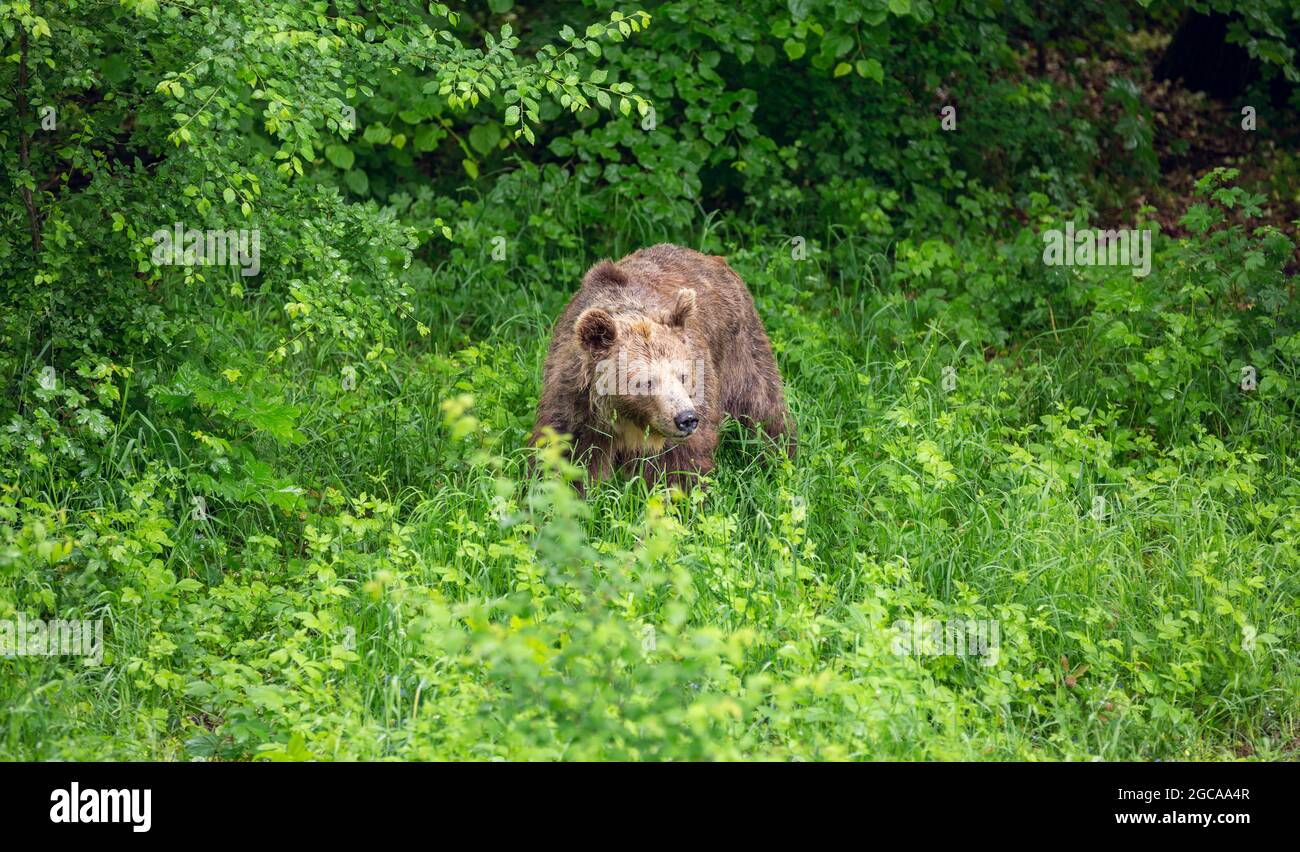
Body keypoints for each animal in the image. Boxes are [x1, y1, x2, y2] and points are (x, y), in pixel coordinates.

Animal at [530, 243, 794, 490]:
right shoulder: (575, 404)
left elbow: (679, 466)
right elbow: (566, 457)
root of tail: (713, 258)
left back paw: (780, 458)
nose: (686, 418)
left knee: (763, 408)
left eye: (683, 376)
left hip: (740, 349)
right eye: (644, 381)